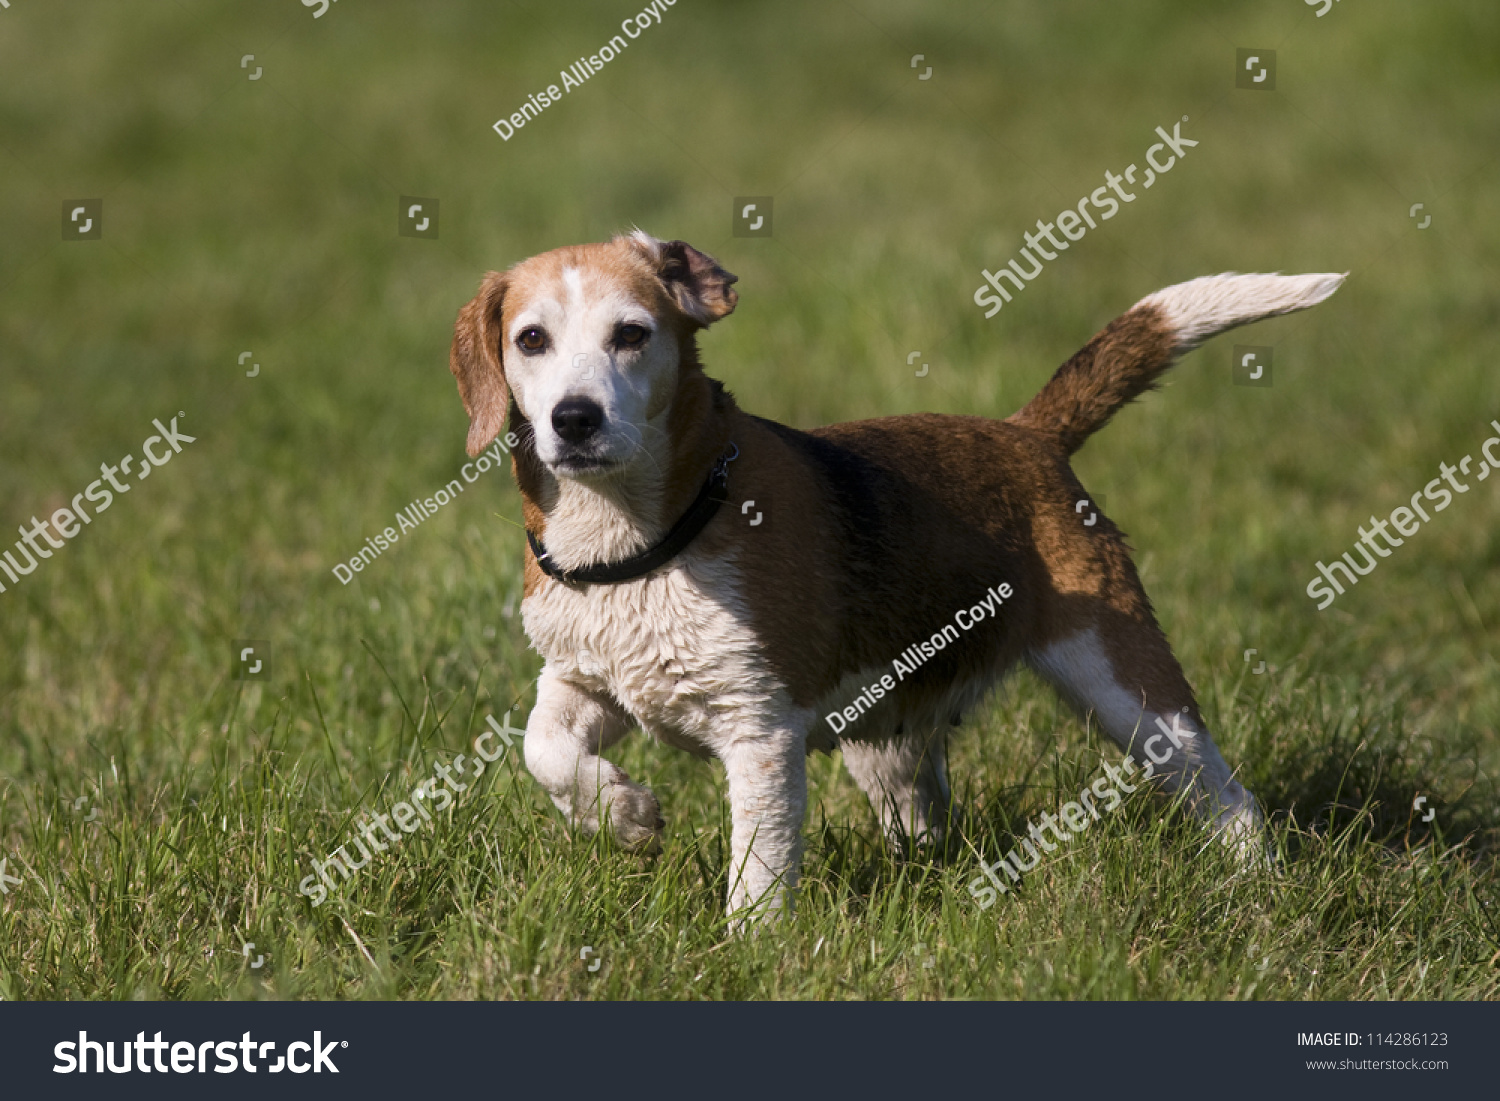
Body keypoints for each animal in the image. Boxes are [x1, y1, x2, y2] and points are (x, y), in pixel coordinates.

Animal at [447, 231, 1350, 924]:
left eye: (632, 334)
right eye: (531, 340)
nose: (574, 419)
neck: (636, 540)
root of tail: (1027, 436)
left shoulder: (759, 731)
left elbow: (758, 864)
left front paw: (749, 946)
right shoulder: (583, 678)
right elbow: (544, 749)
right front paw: (625, 815)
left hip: (1129, 686)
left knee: (1225, 796)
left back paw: (1257, 885)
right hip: (885, 735)